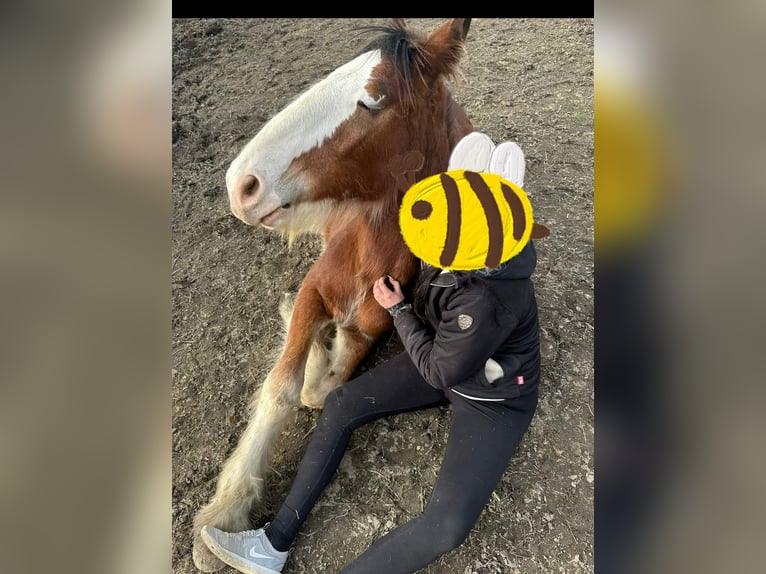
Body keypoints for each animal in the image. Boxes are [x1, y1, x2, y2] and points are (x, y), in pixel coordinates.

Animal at [192, 18, 476, 572]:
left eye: (372, 101)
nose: (242, 185)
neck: (372, 248)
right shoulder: (314, 291)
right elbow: (282, 388)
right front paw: (228, 507)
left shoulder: (369, 329)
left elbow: (321, 391)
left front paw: (318, 363)